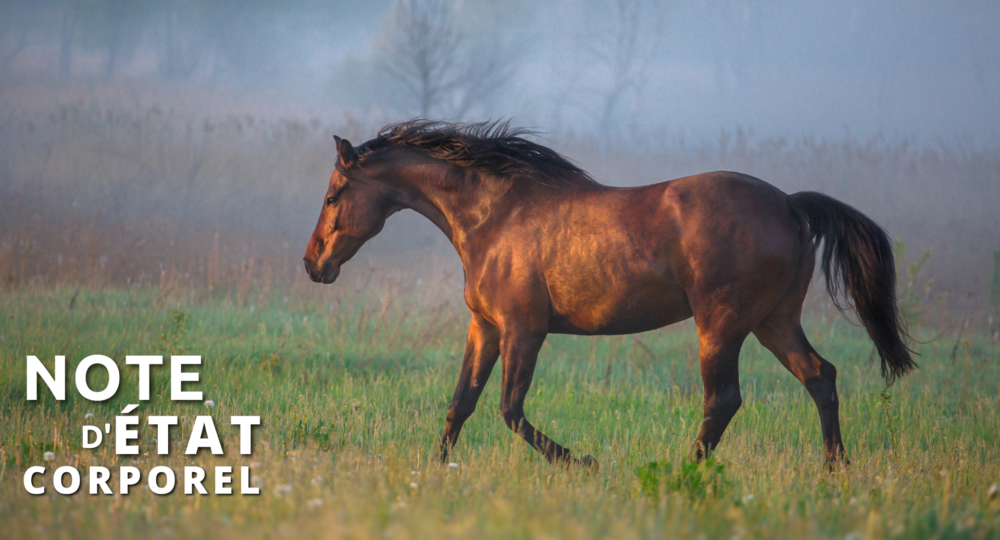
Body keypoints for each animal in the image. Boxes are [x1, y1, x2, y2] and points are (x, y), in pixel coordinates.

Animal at [302, 121, 916, 468]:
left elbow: (509, 409)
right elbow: (460, 405)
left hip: (720, 325)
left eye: (333, 196)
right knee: (821, 377)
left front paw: (584, 463)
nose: (313, 265)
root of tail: (789, 204)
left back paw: (684, 474)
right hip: (774, 321)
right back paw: (836, 470)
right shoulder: (486, 328)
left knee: (723, 400)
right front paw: (431, 474)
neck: (494, 218)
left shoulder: (524, 329)